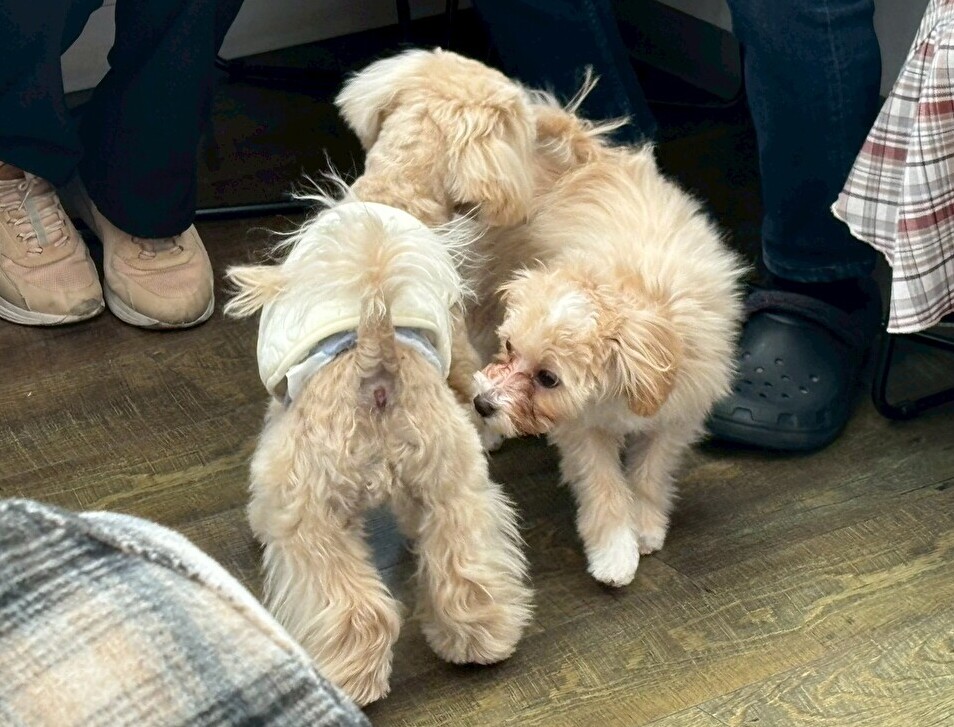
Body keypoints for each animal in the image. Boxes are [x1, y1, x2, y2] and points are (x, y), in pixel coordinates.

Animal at [470, 85, 746, 588]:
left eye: (548, 378)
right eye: (511, 347)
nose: (484, 404)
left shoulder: (675, 420)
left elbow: (649, 475)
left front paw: (647, 525)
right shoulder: (582, 431)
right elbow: (604, 489)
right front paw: (615, 552)